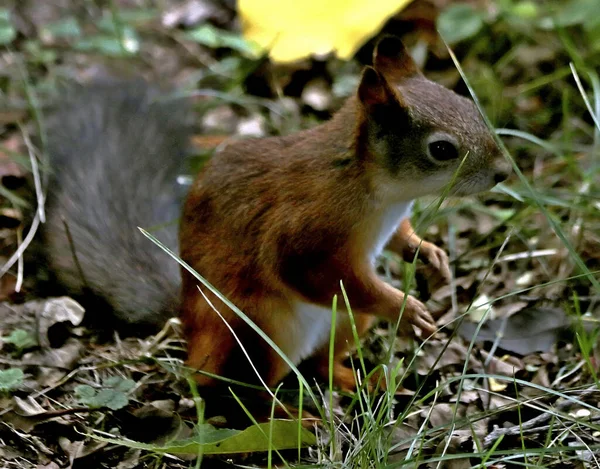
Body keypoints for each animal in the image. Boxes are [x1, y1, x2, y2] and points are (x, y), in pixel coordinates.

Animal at [41, 37, 510, 394]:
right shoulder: (307, 228)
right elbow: (306, 269)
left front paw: (427, 253)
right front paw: (405, 308)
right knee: (246, 392)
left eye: (469, 105)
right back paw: (292, 421)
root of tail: (190, 330)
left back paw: (355, 380)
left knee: (319, 364)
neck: (378, 190)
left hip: (346, 320)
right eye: (442, 149)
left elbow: (400, 238)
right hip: (257, 329)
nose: (504, 171)